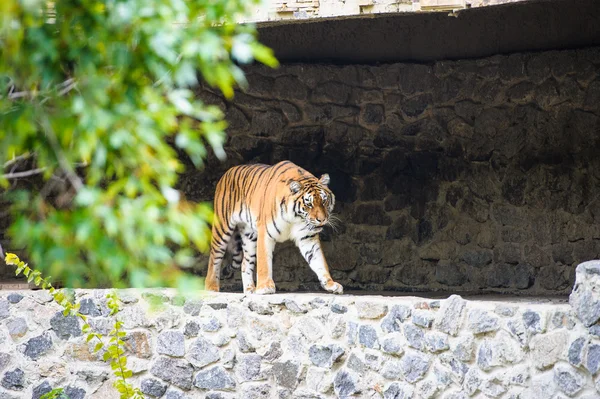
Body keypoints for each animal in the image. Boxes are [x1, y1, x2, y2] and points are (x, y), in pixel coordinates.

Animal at [206, 161, 344, 296]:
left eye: (324, 201)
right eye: (309, 204)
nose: (322, 219)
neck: (295, 218)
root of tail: (228, 172)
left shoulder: (307, 237)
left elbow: (319, 261)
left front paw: (330, 284)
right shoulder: (264, 233)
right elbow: (264, 262)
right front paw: (265, 287)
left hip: (249, 236)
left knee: (245, 263)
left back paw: (250, 290)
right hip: (222, 228)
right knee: (214, 257)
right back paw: (211, 288)